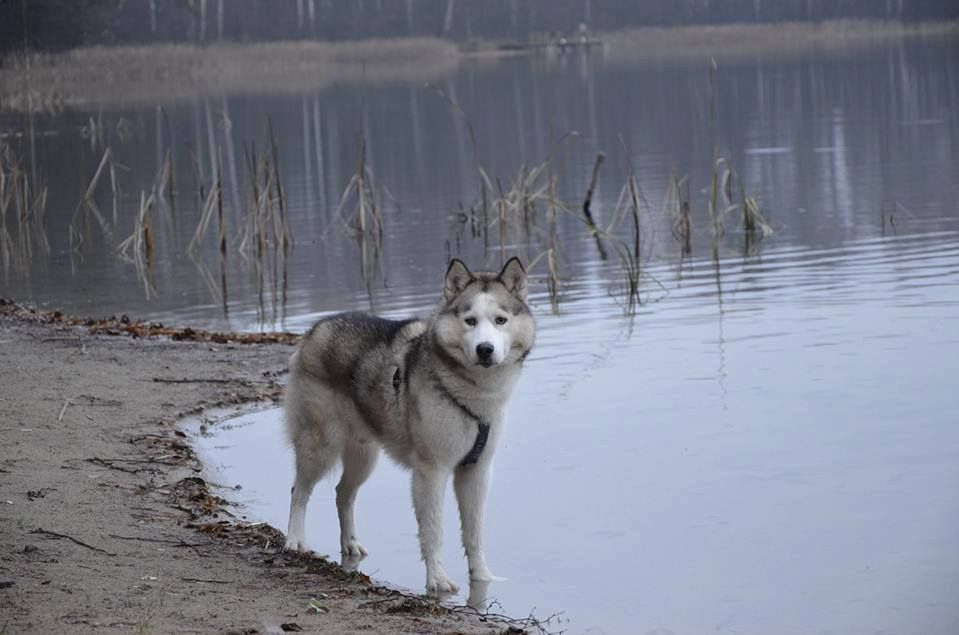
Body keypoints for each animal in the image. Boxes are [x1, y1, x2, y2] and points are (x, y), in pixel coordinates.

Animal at [284, 256, 536, 592]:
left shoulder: (476, 472)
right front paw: (437, 579)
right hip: (320, 445)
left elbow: (474, 533)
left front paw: (482, 578)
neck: (470, 392)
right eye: (470, 320)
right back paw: (294, 540)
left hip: (364, 456)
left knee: (343, 493)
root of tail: (316, 328)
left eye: (500, 320)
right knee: (299, 491)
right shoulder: (431, 472)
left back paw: (349, 544)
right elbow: (433, 531)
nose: (485, 349)